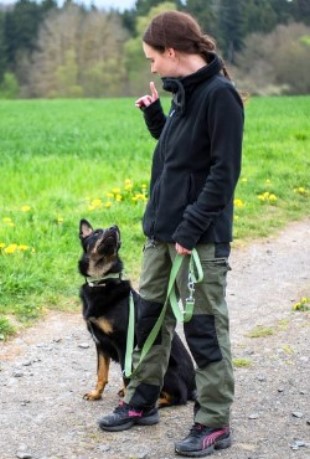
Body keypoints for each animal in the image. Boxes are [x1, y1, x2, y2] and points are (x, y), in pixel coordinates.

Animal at [79, 221, 196, 408]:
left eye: (115, 232)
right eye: (96, 232)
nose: (114, 227)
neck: (102, 282)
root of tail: (193, 386)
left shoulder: (123, 344)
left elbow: (126, 377)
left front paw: (126, 401)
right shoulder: (100, 343)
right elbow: (101, 373)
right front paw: (96, 394)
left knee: (178, 396)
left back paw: (151, 403)